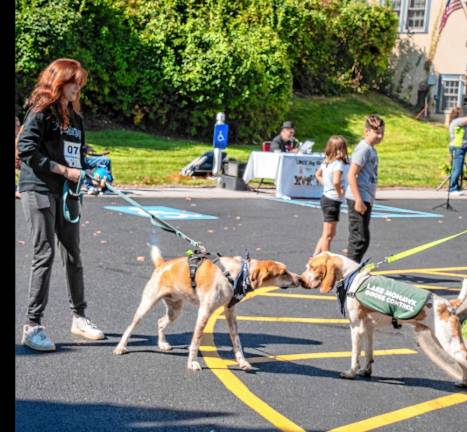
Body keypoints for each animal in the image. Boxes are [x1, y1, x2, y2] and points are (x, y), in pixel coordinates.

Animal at [115, 246, 302, 372]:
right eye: (284, 272)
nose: (299, 279)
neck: (236, 274)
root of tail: (163, 264)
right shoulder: (204, 313)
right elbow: (195, 341)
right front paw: (192, 362)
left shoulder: (230, 313)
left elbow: (237, 342)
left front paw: (242, 362)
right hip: (146, 305)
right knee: (130, 327)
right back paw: (120, 347)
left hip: (175, 310)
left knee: (161, 322)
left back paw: (162, 344)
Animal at [300, 251, 467, 386]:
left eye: (312, 267)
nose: (300, 280)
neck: (352, 278)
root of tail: (448, 304)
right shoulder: (368, 328)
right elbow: (368, 353)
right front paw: (365, 371)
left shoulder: (356, 328)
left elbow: (355, 355)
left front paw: (351, 373)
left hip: (449, 343)